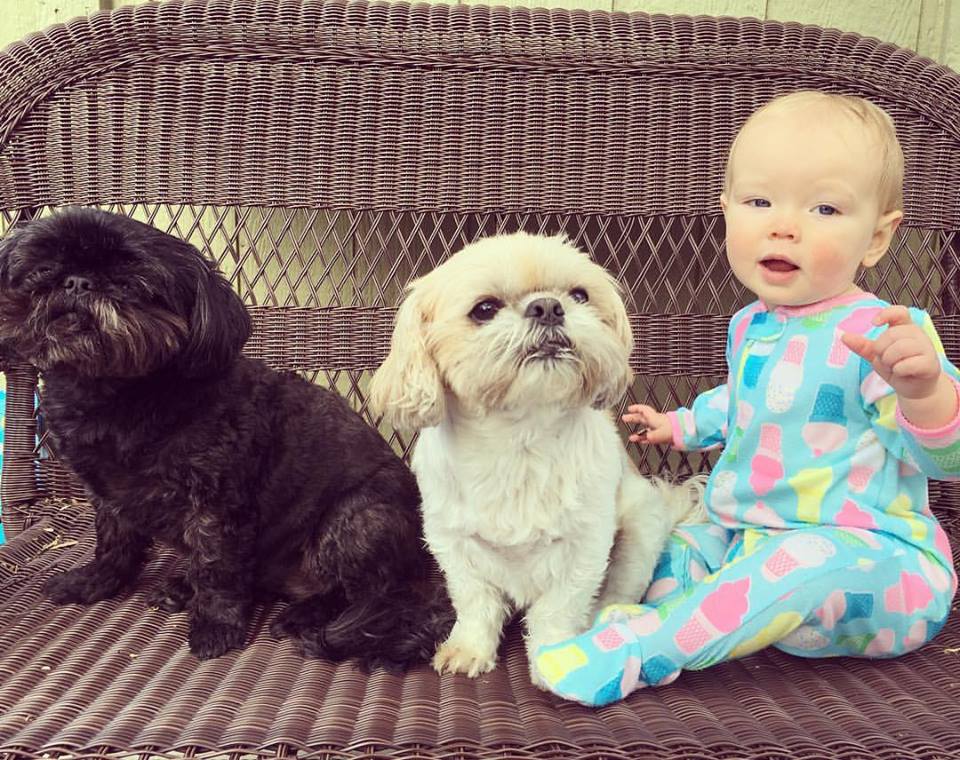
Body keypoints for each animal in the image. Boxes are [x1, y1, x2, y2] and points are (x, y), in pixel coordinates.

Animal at [0, 208, 454, 664]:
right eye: (42, 269)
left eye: (130, 281)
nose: (77, 282)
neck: (118, 397)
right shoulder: (109, 494)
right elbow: (114, 542)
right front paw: (94, 582)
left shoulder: (217, 503)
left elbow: (218, 567)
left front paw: (216, 626)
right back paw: (183, 587)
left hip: (360, 517)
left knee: (369, 595)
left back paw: (303, 615)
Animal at [372, 232, 700, 684]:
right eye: (484, 309)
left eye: (579, 295)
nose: (547, 306)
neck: (519, 441)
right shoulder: (452, 543)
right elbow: (475, 602)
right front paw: (469, 649)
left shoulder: (585, 547)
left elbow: (557, 611)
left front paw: (556, 656)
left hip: (641, 529)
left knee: (616, 592)